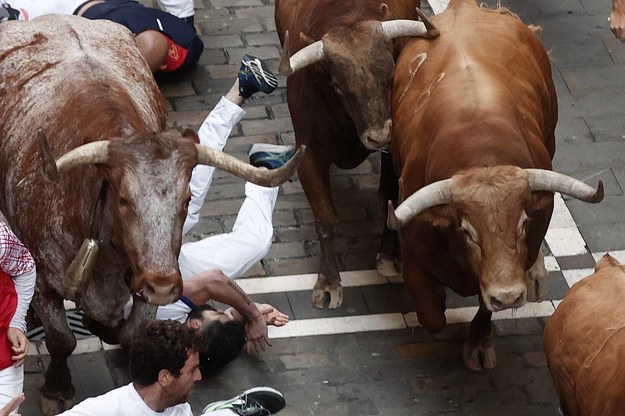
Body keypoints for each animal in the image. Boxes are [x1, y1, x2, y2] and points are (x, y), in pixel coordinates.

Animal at [0, 15, 302, 412]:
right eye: (124, 199)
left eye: (187, 198)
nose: (162, 284)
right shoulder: (43, 278)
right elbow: (62, 339)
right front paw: (56, 390)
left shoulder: (145, 286)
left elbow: (130, 332)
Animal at [276, 0, 436, 308]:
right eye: (338, 85)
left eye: (391, 71)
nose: (379, 136)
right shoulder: (308, 155)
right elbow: (325, 218)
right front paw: (328, 282)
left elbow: (388, 199)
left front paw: (389, 257)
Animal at [388, 0, 604, 368]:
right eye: (466, 230)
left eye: (523, 223)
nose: (508, 296)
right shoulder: (413, 254)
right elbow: (432, 317)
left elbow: (483, 306)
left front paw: (478, 341)